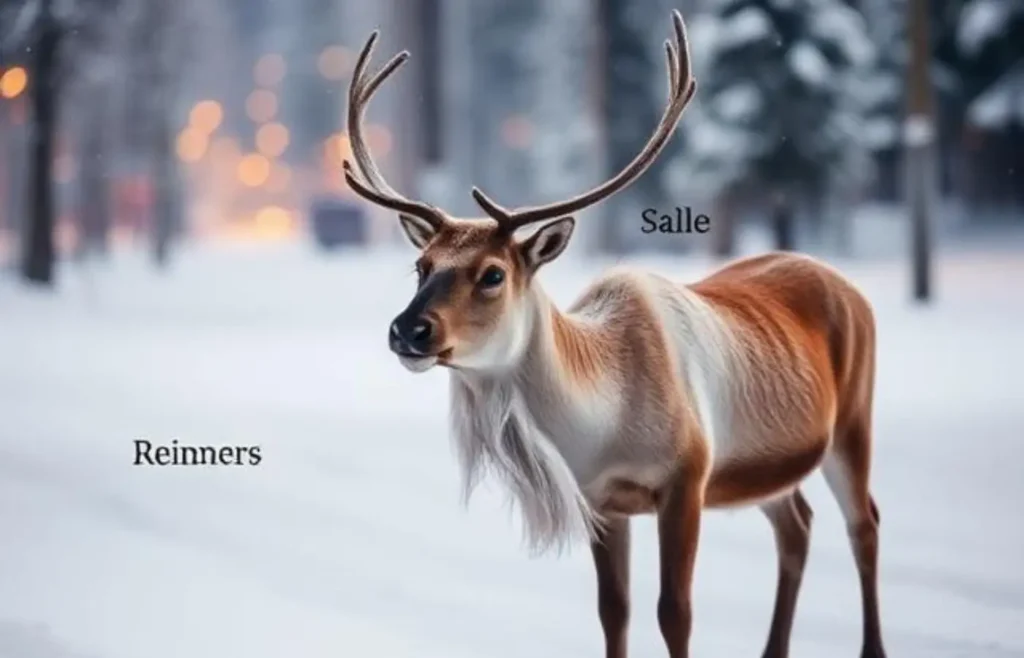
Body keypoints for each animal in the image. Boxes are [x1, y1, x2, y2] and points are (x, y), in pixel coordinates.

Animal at [341, 11, 887, 658]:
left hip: (852, 420)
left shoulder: (688, 476)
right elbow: (614, 610)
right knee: (797, 526)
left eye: (493, 273)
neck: (603, 420)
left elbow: (675, 612)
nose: (408, 329)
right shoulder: (601, 498)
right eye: (422, 265)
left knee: (864, 524)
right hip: (776, 465)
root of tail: (849, 287)